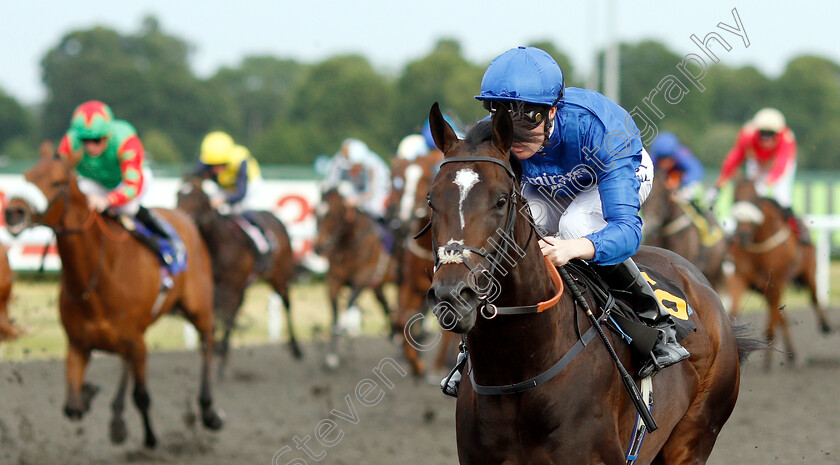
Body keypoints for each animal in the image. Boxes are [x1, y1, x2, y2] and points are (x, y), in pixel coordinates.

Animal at [4, 154, 221, 448]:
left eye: (57, 182)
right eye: (26, 176)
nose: (13, 212)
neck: (96, 277)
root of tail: (184, 217)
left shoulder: (137, 341)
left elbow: (141, 395)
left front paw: (150, 438)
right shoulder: (78, 342)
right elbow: (72, 406)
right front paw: (90, 394)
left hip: (198, 307)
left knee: (208, 342)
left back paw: (209, 411)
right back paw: (116, 417)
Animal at [177, 176, 302, 376]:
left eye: (198, 197)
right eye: (178, 194)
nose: (180, 218)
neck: (218, 243)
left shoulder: (232, 286)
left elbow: (228, 318)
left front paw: (221, 357)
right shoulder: (214, 288)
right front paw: (215, 348)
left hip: (279, 275)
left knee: (286, 303)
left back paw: (296, 349)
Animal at [314, 188, 396, 366]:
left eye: (332, 214)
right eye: (316, 213)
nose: (318, 247)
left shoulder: (362, 280)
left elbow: (349, 306)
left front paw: (347, 334)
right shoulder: (334, 280)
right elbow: (335, 315)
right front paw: (333, 355)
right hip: (378, 286)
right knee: (385, 305)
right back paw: (395, 334)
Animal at [724, 176, 832, 368]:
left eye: (754, 199)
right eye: (734, 198)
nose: (742, 235)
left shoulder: (777, 282)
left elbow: (772, 323)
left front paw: (767, 361)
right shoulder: (739, 278)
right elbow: (733, 310)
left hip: (807, 272)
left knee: (813, 297)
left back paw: (825, 325)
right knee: (783, 317)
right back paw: (792, 353)